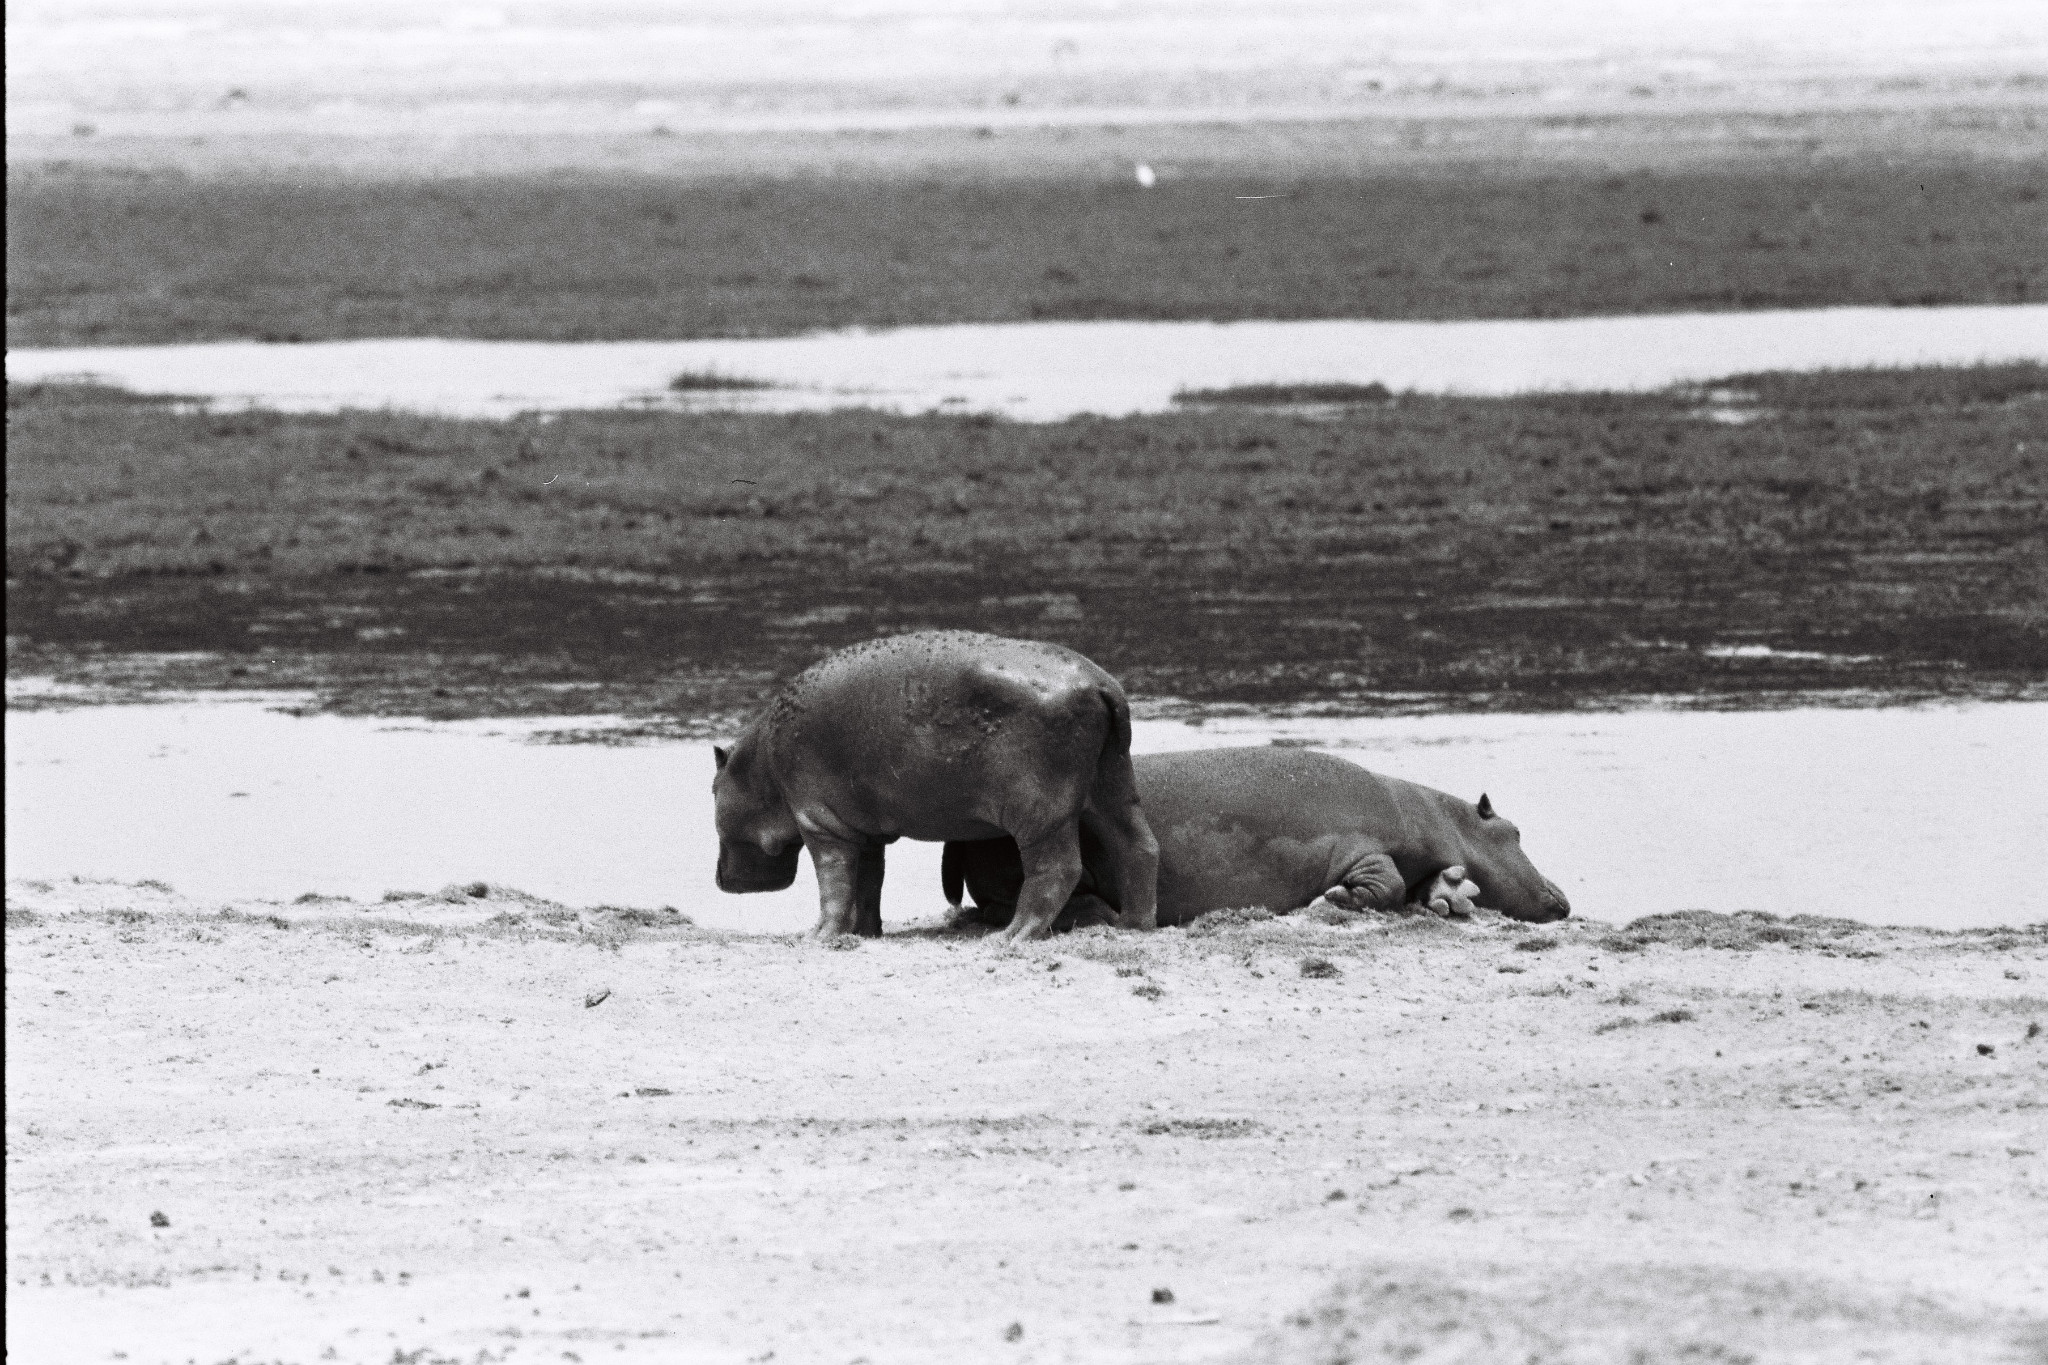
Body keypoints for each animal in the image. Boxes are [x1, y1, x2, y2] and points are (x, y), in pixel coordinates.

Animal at [708, 626, 1155, 941]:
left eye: (711, 790)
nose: (718, 878)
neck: (759, 765)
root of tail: (1101, 684)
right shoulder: (863, 830)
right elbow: (868, 883)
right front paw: (864, 934)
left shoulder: (820, 824)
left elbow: (834, 885)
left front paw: (816, 937)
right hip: (1113, 785)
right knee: (1137, 846)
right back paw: (1133, 926)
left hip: (1041, 814)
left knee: (1057, 869)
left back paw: (1009, 938)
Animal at [942, 749, 1564, 929]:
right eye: (1514, 829)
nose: (1563, 896)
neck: (1441, 817)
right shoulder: (1362, 843)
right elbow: (1384, 880)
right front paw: (1332, 900)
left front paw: (1448, 895)